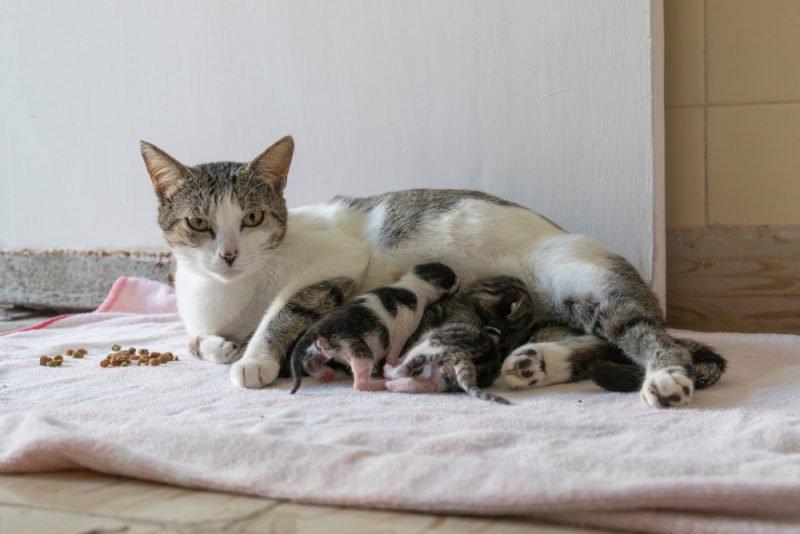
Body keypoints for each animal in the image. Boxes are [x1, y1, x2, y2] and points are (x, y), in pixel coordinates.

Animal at [290, 264, 460, 394]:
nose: (459, 284)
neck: (410, 287)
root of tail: (319, 328)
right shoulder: (404, 326)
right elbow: (394, 351)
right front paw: (394, 362)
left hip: (320, 351)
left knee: (309, 365)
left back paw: (326, 373)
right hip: (358, 349)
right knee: (360, 384)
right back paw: (380, 383)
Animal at [382, 276, 536, 406]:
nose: (504, 342)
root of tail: (466, 359)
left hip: (430, 347)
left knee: (404, 368)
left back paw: (389, 370)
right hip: (444, 378)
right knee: (427, 384)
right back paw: (392, 383)